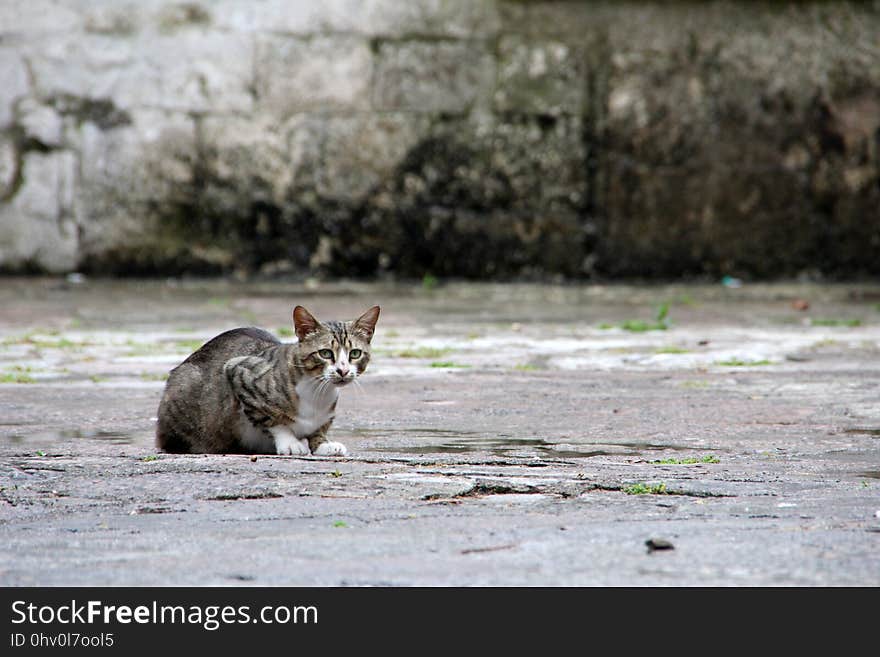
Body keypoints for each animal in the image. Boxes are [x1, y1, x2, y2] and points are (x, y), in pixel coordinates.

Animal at [156, 304, 380, 454]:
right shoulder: (238, 372)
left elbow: (319, 429)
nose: (343, 371)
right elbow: (273, 421)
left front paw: (323, 444)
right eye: (325, 353)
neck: (317, 392)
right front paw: (289, 442)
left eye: (355, 354)